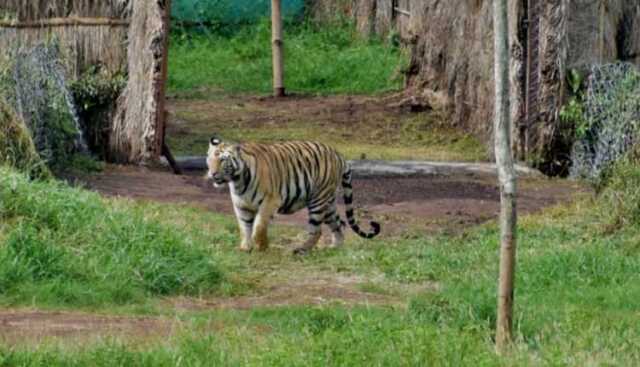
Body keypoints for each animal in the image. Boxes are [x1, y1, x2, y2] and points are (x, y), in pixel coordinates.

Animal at [206, 137, 380, 254]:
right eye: (210, 158)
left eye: (223, 160)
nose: (212, 174)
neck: (238, 181)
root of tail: (338, 155)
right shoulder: (241, 205)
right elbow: (244, 227)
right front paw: (245, 248)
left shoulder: (270, 201)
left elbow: (258, 227)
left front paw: (262, 247)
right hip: (328, 203)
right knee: (338, 223)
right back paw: (334, 248)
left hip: (318, 200)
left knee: (317, 230)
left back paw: (301, 250)